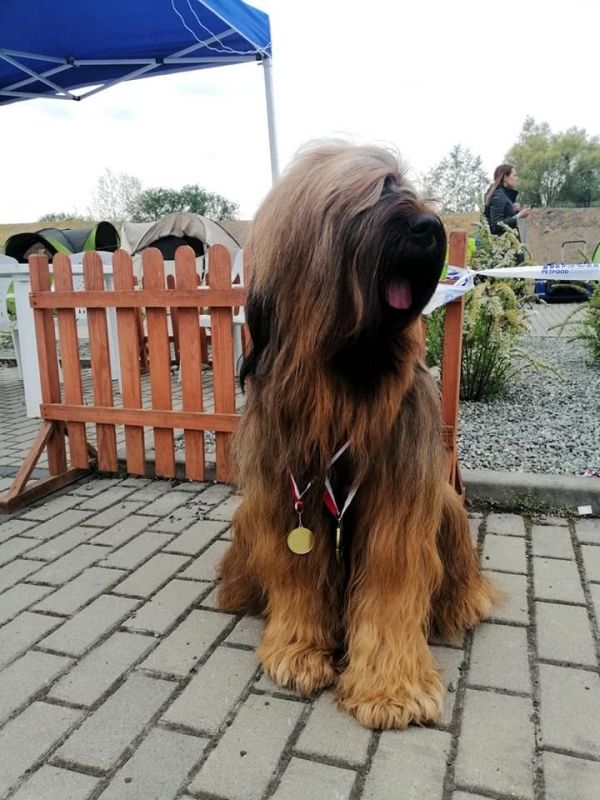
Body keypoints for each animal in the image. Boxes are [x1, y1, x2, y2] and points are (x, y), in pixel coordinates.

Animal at [218, 142, 496, 730]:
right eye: (368, 198)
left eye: (404, 188)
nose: (428, 227)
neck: (348, 379)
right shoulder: (288, 491)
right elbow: (299, 570)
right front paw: (299, 651)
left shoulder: (398, 498)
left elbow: (392, 580)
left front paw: (389, 689)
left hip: (446, 509)